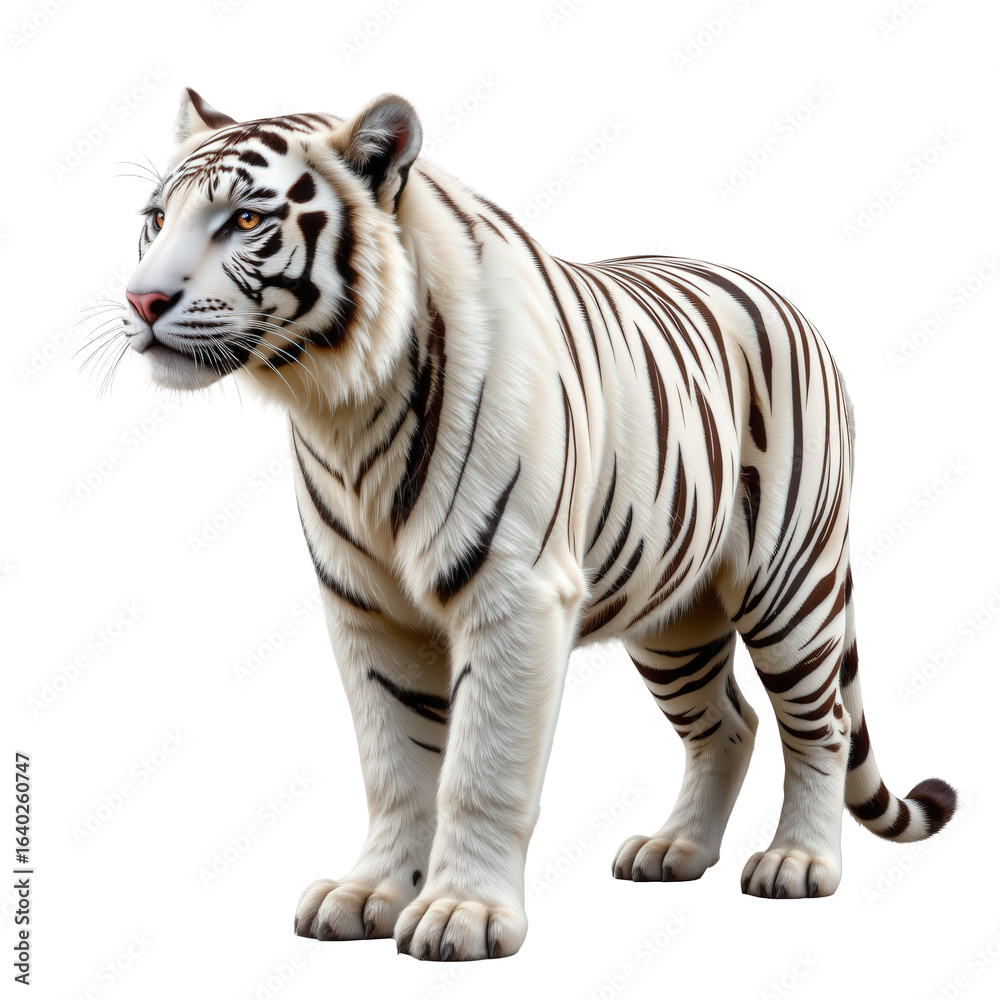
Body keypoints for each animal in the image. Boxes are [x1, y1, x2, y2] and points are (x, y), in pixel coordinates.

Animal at [117, 87, 957, 961]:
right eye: (156, 217)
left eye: (246, 219)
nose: (140, 301)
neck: (342, 403)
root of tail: (778, 297)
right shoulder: (366, 609)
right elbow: (394, 765)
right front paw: (368, 893)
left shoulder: (513, 594)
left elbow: (480, 770)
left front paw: (462, 914)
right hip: (673, 616)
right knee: (729, 723)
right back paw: (676, 850)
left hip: (789, 583)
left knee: (821, 723)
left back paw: (798, 861)